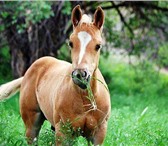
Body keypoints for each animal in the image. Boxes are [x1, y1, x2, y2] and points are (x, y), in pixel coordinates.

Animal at [0, 5, 111, 145]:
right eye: (71, 43)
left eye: (98, 46)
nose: (80, 75)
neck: (85, 100)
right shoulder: (63, 133)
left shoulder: (99, 134)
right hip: (32, 126)